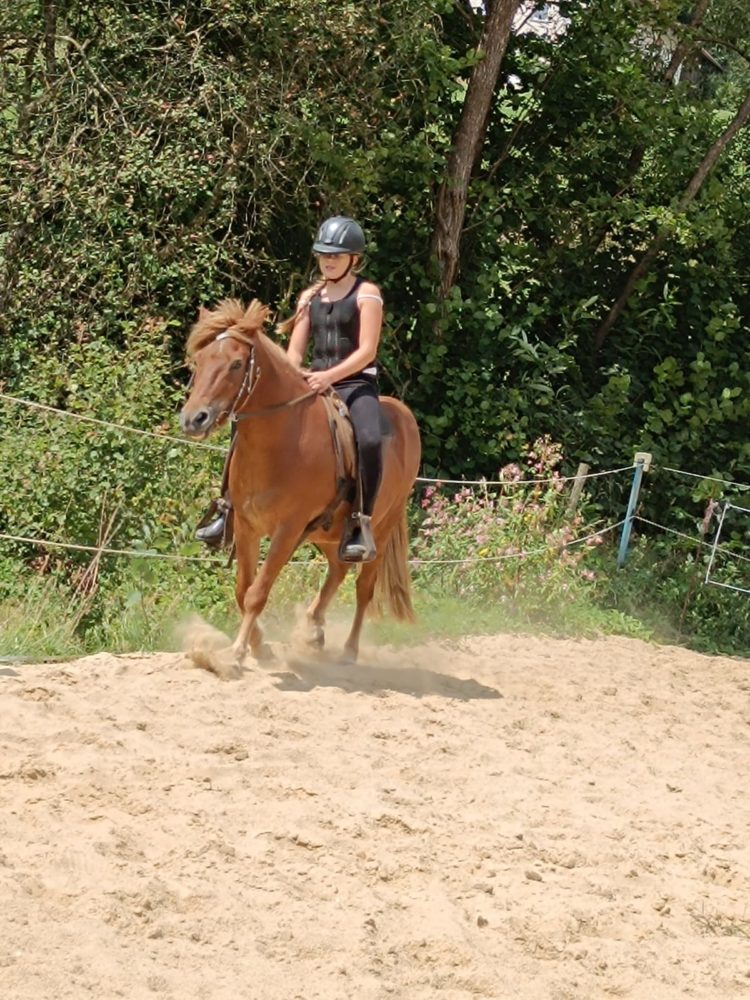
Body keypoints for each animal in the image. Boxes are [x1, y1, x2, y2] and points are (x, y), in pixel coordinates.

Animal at [178, 292, 420, 676]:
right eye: (200, 360)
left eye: (235, 364)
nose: (193, 419)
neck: (280, 441)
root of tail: (405, 416)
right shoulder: (246, 525)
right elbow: (243, 589)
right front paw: (259, 649)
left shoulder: (287, 530)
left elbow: (257, 593)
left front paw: (236, 655)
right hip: (328, 532)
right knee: (337, 569)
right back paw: (312, 629)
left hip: (377, 531)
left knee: (363, 587)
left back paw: (348, 651)